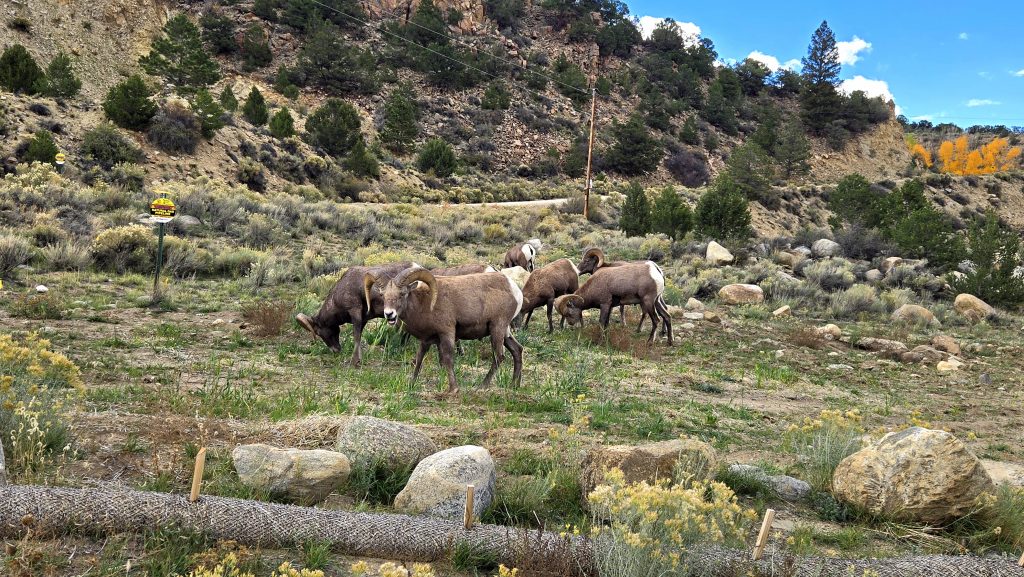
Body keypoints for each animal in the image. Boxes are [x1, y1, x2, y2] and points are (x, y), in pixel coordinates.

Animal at [364, 267, 524, 392]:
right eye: (383, 295)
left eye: (402, 294)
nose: (389, 314)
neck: (425, 303)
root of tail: (514, 289)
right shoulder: (426, 340)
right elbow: (420, 359)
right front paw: (411, 384)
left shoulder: (447, 333)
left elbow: (447, 359)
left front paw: (453, 389)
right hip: (504, 332)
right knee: (517, 350)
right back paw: (514, 385)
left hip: (497, 328)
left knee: (499, 356)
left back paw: (482, 387)